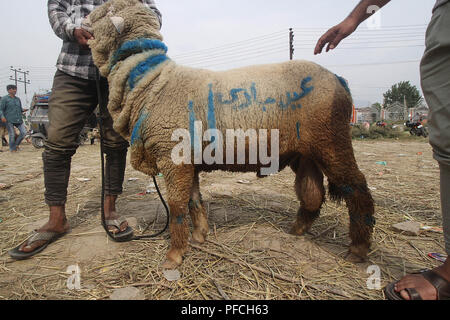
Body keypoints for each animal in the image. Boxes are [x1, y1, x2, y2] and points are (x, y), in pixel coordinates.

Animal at [85, 0, 376, 270]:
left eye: (106, 9)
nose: (82, 22)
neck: (153, 80)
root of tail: (338, 79)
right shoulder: (188, 158)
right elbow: (194, 200)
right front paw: (199, 236)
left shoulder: (173, 157)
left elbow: (177, 205)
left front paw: (174, 255)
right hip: (305, 152)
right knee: (312, 192)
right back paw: (297, 231)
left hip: (332, 140)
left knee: (358, 187)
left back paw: (358, 248)